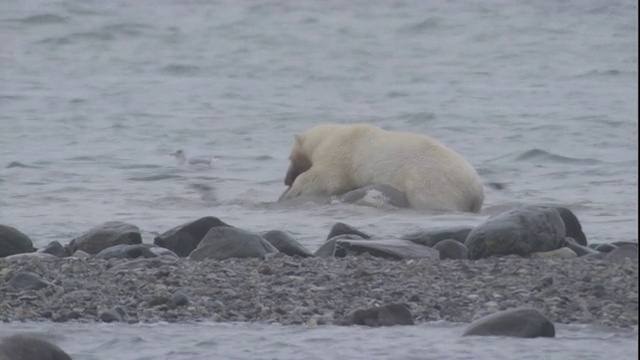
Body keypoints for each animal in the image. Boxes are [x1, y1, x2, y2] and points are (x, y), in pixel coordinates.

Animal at [278, 124, 482, 212]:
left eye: (290, 158)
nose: (286, 179)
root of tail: (476, 191)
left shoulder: (340, 154)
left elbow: (324, 177)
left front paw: (291, 192)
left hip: (433, 182)